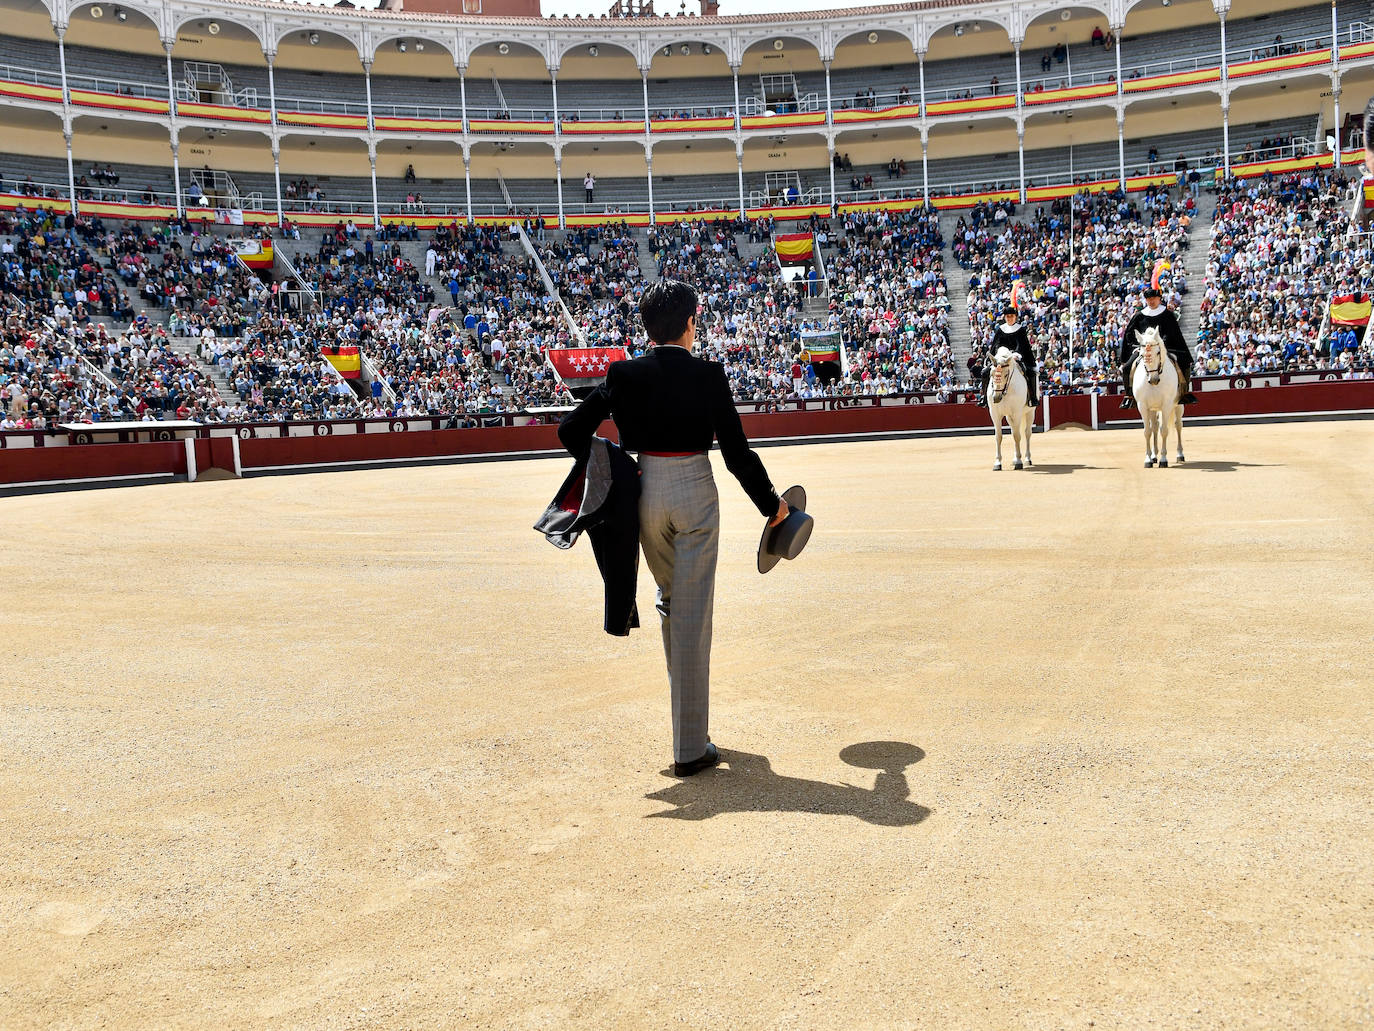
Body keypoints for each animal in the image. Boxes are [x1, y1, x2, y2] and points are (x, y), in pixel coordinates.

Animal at [1132, 328, 1187, 470]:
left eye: (1158, 352)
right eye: (1142, 354)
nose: (1154, 379)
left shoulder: (1166, 405)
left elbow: (1164, 430)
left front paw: (1163, 459)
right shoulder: (1142, 406)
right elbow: (1147, 431)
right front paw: (1148, 459)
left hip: (1178, 406)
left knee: (1178, 425)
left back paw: (1180, 454)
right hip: (1153, 409)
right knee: (1154, 427)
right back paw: (1154, 456)